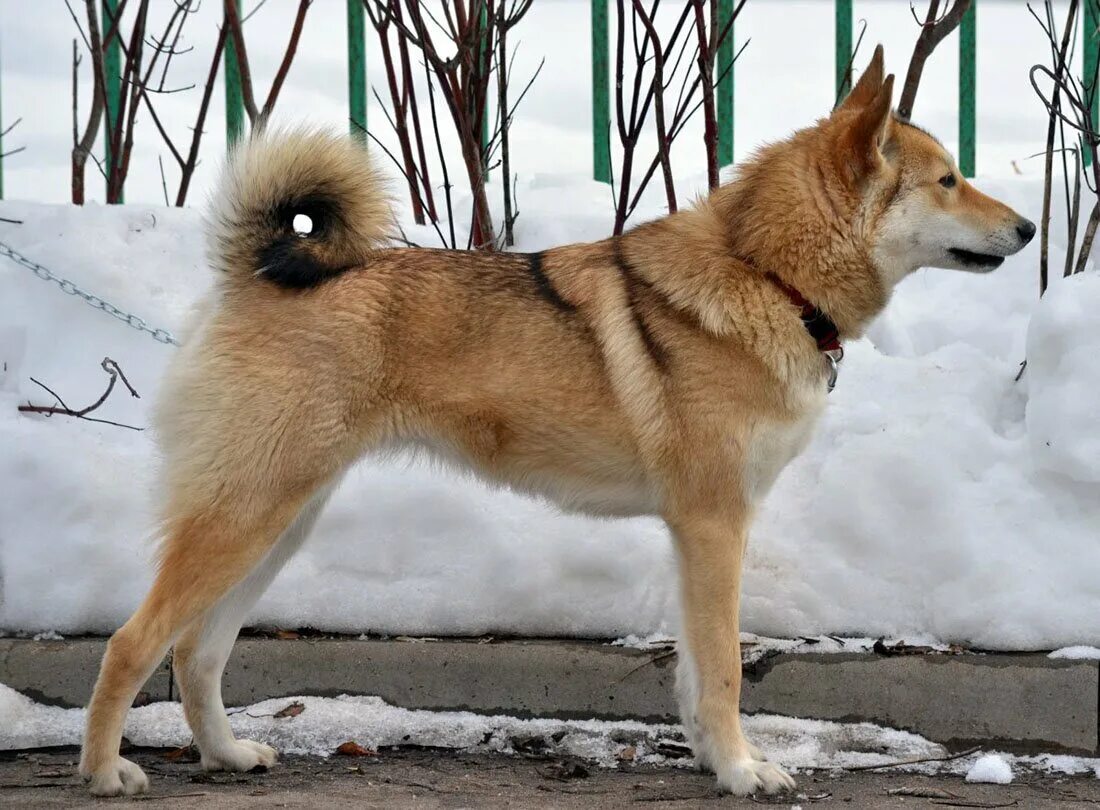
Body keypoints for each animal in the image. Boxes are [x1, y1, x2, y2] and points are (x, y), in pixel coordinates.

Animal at [77, 47, 1029, 801]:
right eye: (948, 179)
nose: (1026, 228)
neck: (766, 273)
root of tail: (255, 274)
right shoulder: (714, 526)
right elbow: (723, 670)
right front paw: (742, 771)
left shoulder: (697, 537)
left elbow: (695, 675)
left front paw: (711, 761)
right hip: (246, 518)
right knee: (133, 643)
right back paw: (103, 770)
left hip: (281, 524)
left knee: (196, 653)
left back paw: (226, 755)